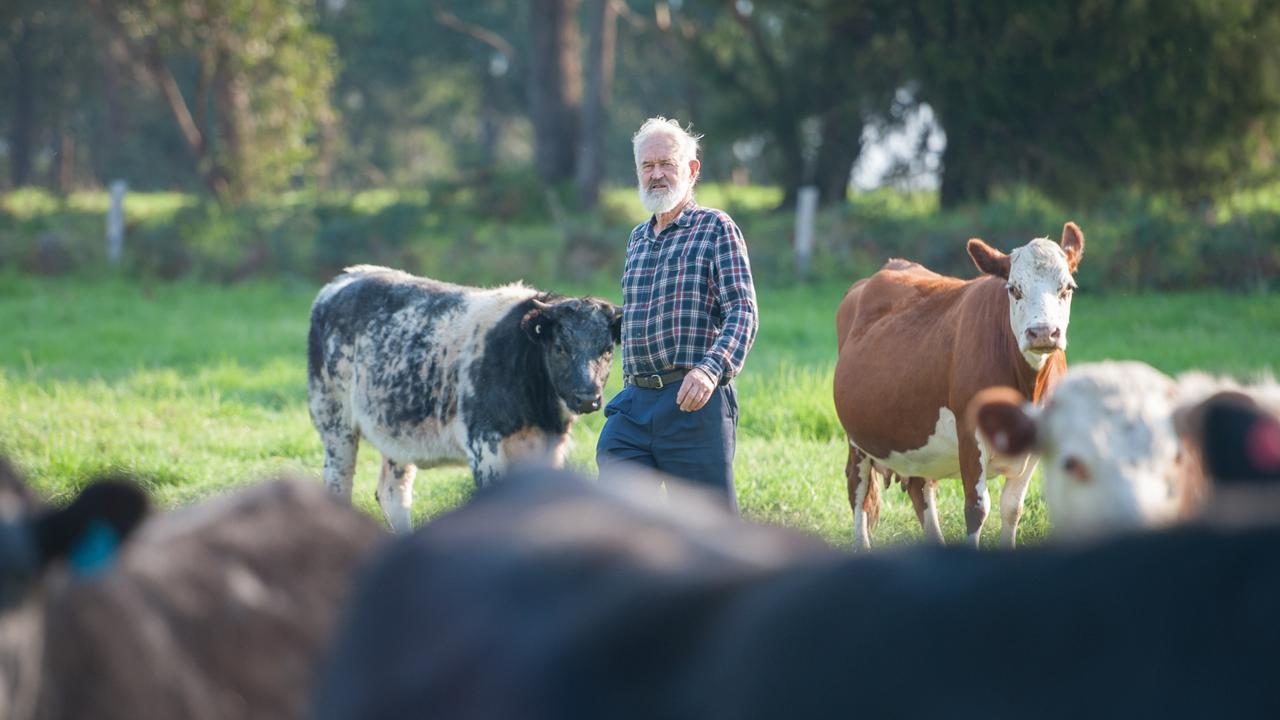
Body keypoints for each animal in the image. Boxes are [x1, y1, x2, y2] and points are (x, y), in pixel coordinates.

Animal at [314, 266, 624, 530]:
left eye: (607, 350)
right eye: (560, 347)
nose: (587, 398)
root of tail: (347, 278)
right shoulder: (484, 446)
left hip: (395, 435)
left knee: (393, 494)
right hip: (335, 423)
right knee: (338, 483)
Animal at [834, 221, 1085, 545]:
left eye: (1067, 288)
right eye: (1014, 289)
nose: (1042, 332)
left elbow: (1012, 508)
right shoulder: (969, 432)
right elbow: (977, 508)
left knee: (920, 488)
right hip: (857, 437)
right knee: (858, 488)